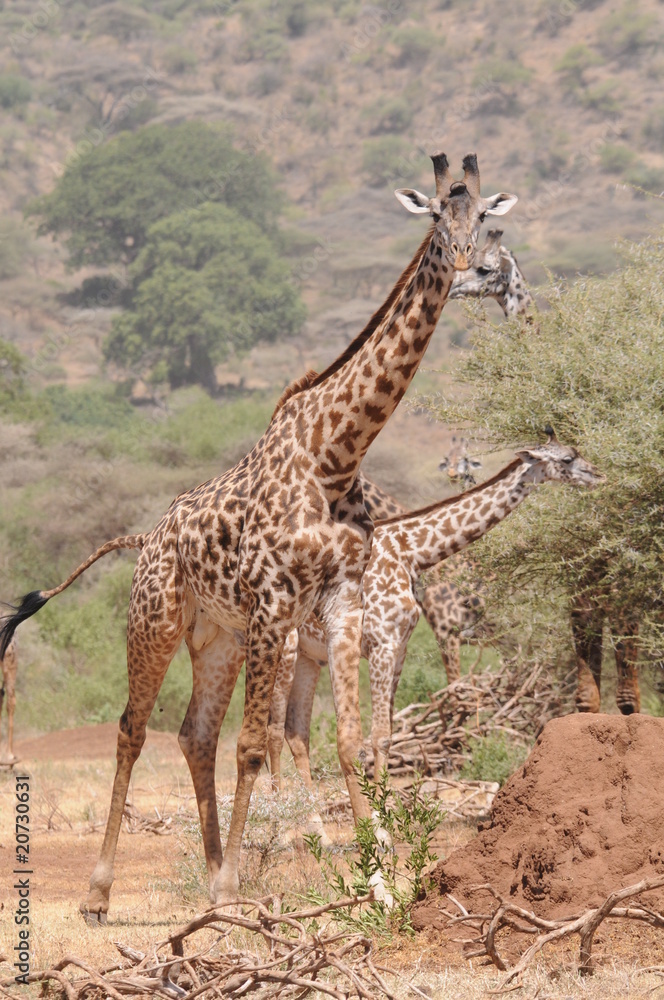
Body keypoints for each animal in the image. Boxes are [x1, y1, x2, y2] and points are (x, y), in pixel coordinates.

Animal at [0, 153, 518, 921]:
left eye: (484, 215)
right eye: (434, 215)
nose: (467, 264)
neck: (337, 453)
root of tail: (147, 537)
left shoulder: (342, 603)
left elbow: (345, 739)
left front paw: (381, 885)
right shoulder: (276, 601)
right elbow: (255, 743)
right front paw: (233, 889)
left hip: (218, 636)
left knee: (194, 734)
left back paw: (215, 864)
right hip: (157, 619)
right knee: (133, 729)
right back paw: (103, 892)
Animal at [268, 430, 604, 784]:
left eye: (574, 451)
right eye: (567, 459)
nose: (598, 474)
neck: (411, 553)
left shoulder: (399, 648)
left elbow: (387, 735)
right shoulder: (385, 644)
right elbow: (379, 733)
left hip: (309, 657)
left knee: (295, 732)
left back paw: (308, 800)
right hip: (285, 649)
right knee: (272, 731)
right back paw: (281, 796)